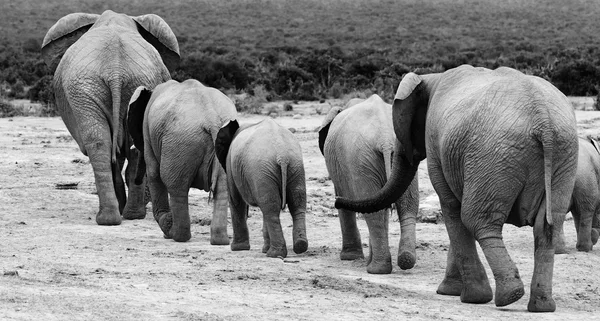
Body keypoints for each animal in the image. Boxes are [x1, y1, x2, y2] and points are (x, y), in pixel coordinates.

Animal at [41, 10, 179, 225]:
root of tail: (115, 70)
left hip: (93, 87)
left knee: (106, 144)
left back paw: (118, 216)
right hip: (93, 87)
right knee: (112, 143)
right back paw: (122, 216)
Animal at [125, 79, 236, 242]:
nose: (136, 180)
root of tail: (212, 118)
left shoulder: (147, 131)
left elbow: (153, 174)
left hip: (179, 142)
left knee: (175, 185)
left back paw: (175, 234)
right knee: (222, 189)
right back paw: (219, 241)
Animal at [216, 117, 310, 258]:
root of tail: (282, 156)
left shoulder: (230, 164)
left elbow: (236, 200)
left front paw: (237, 249)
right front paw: (263, 249)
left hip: (262, 170)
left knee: (270, 208)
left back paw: (274, 254)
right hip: (294, 167)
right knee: (293, 204)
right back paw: (299, 246)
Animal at [318, 94, 418, 272]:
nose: (335, 202)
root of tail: (385, 138)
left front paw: (350, 257)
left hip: (360, 160)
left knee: (373, 211)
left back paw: (376, 270)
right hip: (398, 154)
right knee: (406, 205)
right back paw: (404, 261)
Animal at [336, 63, 580, 312]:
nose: (337, 200)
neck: (432, 78)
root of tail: (543, 120)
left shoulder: (436, 142)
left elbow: (452, 208)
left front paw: (466, 295)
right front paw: (451, 291)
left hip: (494, 154)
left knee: (477, 220)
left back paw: (507, 296)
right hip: (563, 155)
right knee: (547, 225)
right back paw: (542, 306)